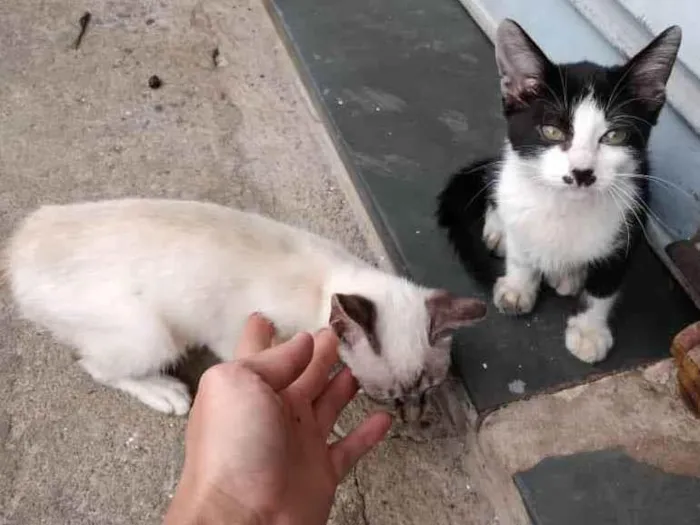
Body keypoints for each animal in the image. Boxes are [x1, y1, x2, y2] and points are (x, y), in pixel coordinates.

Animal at [5, 198, 486, 418]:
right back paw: (165, 392)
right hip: (152, 335)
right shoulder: (236, 334)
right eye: (387, 396)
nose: (413, 417)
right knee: (95, 366)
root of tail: (20, 248)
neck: (324, 281)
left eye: (428, 388)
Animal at [438, 18, 684, 362]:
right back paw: (500, 231)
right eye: (552, 131)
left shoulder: (633, 220)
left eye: (615, 136)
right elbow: (522, 248)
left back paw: (569, 276)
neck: (567, 207)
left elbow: (604, 286)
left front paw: (589, 330)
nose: (581, 173)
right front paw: (518, 286)